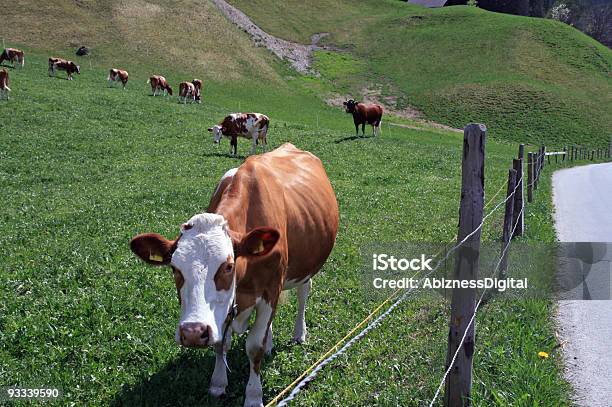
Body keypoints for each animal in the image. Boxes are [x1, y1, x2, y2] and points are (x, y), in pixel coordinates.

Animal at [130, 143, 340, 407]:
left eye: (228, 266)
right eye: (175, 268)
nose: (192, 333)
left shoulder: (270, 289)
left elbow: (254, 346)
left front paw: (253, 395)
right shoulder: (225, 308)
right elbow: (222, 342)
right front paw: (218, 383)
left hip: (306, 266)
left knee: (303, 293)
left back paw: (299, 333)